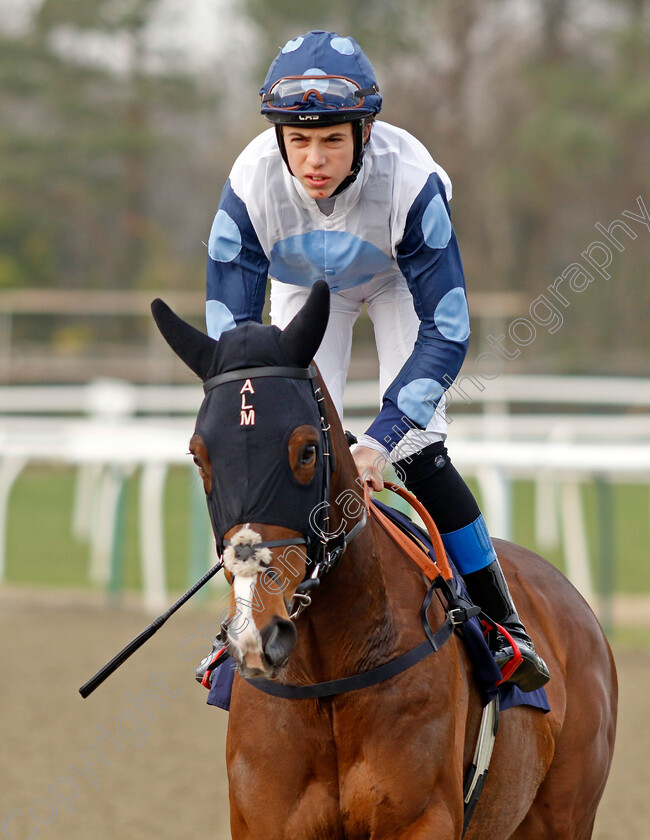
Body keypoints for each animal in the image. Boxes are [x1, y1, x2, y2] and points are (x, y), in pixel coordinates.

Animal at [151, 282, 612, 840]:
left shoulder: (422, 818)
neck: (327, 676)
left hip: (564, 814)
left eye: (307, 450)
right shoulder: (265, 820)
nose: (259, 634)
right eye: (199, 456)